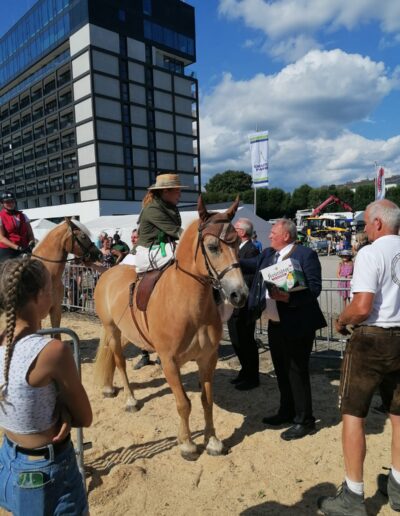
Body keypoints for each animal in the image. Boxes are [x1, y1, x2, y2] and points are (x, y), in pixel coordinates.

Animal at [95, 197, 248, 460]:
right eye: (212, 246)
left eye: (238, 243)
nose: (239, 294)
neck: (189, 304)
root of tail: (108, 273)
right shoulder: (169, 361)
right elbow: (184, 403)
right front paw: (187, 444)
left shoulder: (208, 358)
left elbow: (206, 400)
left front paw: (213, 441)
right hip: (112, 330)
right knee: (119, 362)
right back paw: (130, 400)